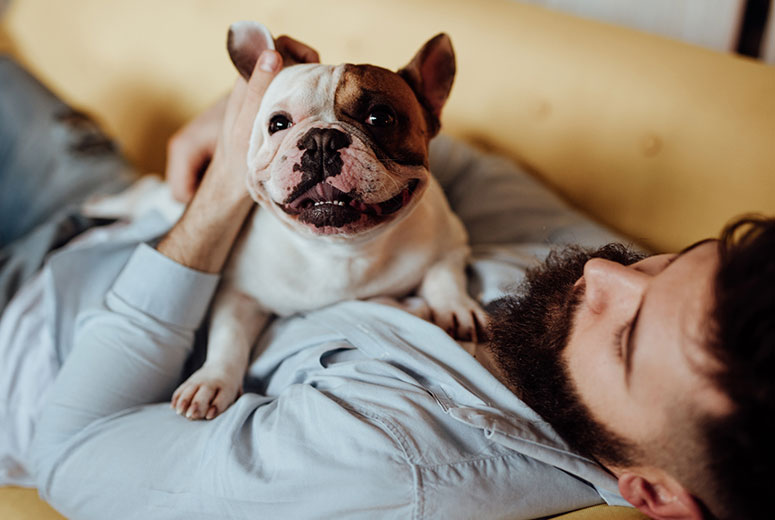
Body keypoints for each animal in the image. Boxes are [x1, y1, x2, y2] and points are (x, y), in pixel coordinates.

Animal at [86, 22, 484, 420]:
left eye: (381, 118)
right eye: (278, 123)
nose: (322, 139)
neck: (340, 250)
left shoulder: (450, 240)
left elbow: (444, 273)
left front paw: (455, 308)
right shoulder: (239, 294)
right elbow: (228, 338)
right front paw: (211, 380)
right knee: (141, 195)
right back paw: (103, 206)